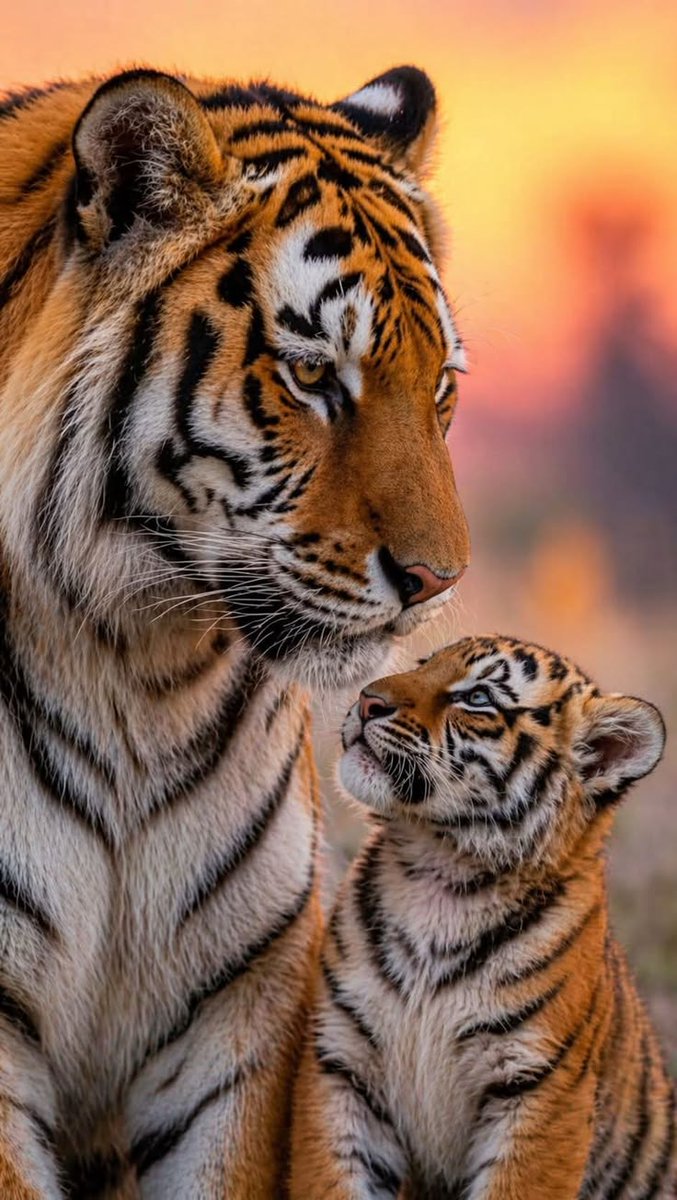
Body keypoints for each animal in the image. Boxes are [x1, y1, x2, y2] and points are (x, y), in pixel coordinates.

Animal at [291, 634, 676, 1200]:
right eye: (423, 665)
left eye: (477, 698)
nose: (367, 701)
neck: (440, 874)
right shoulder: (341, 1065)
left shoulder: (541, 1091)